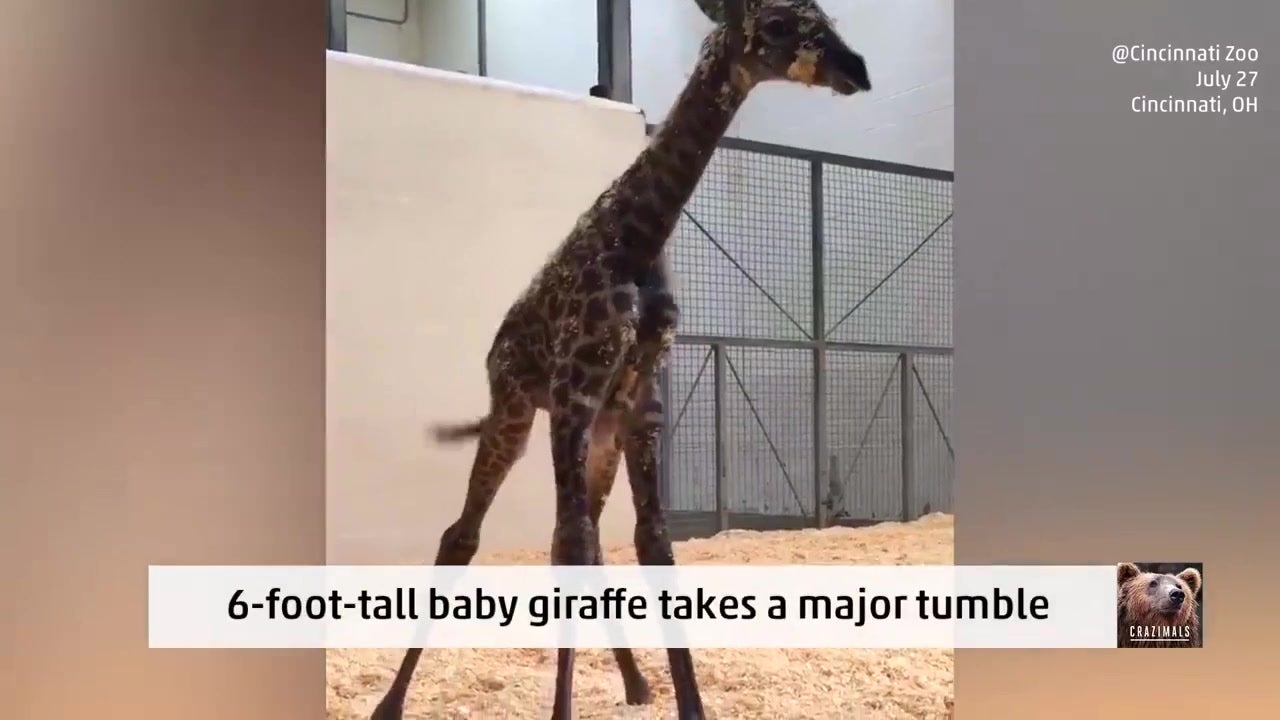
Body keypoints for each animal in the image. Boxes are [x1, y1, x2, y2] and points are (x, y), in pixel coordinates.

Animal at [370, 2, 869, 718]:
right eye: (777, 23)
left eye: (826, 15)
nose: (856, 68)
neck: (638, 240)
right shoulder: (573, 399)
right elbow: (573, 547)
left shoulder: (638, 410)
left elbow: (650, 545)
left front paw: (688, 705)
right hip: (515, 413)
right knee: (462, 535)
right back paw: (389, 703)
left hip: (596, 435)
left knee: (575, 543)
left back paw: (635, 684)